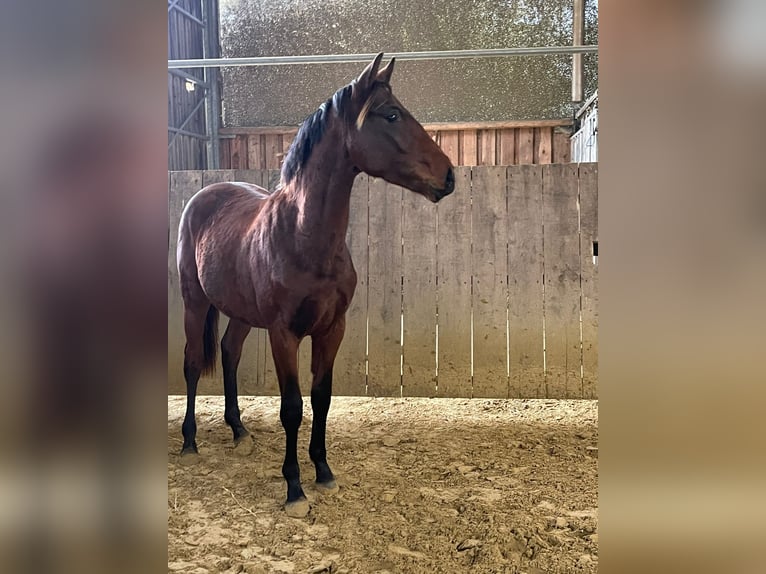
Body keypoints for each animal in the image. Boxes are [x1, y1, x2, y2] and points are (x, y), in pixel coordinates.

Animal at [178, 54, 456, 520]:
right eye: (391, 114)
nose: (449, 176)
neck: (303, 235)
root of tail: (205, 196)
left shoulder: (332, 329)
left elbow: (321, 398)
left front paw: (323, 472)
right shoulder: (283, 334)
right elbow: (292, 408)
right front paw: (294, 488)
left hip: (240, 312)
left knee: (230, 353)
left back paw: (239, 431)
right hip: (194, 304)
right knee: (193, 362)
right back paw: (188, 441)